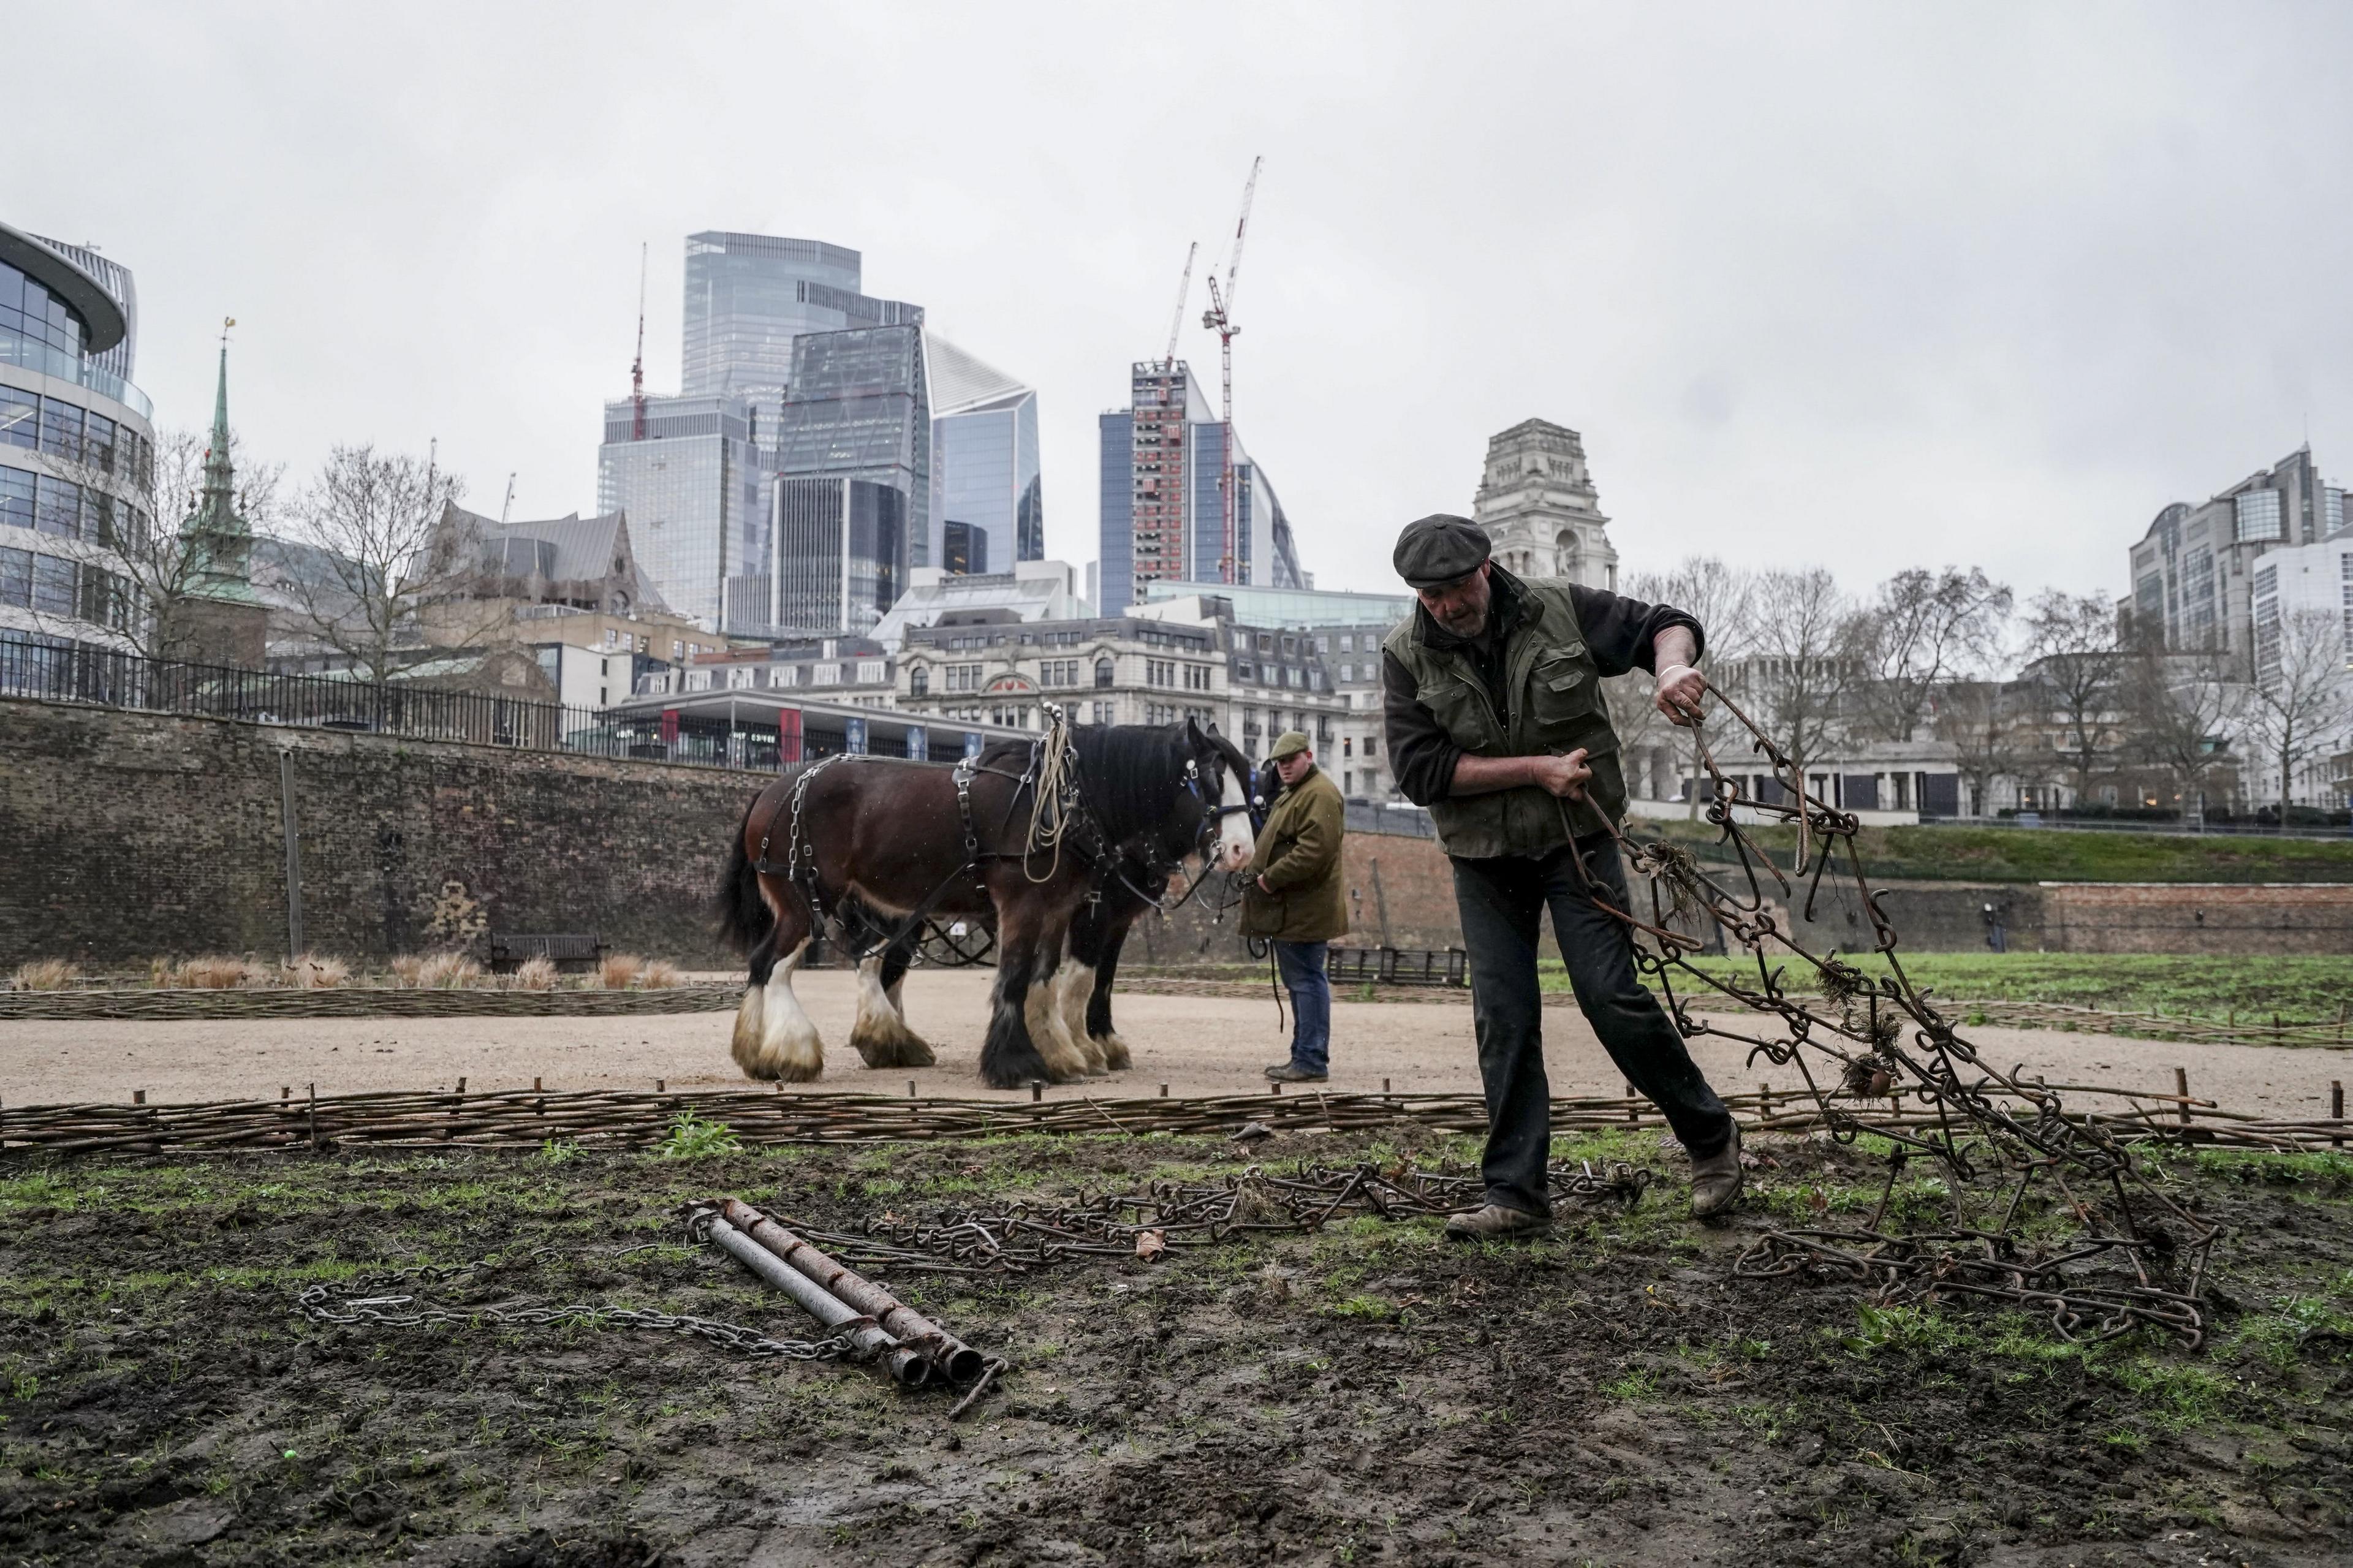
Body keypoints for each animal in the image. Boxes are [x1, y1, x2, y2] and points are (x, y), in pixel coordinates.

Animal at [715, 716, 1261, 1088]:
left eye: (1250, 783)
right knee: (775, 964)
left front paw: (1065, 1052)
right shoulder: (1036, 905)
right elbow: (1026, 978)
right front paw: (1021, 1062)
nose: (1242, 849)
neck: (1064, 802)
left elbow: (1053, 979)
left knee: (868, 966)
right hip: (805, 900)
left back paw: (876, 1041)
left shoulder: (1066, 909)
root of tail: (778, 785)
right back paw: (787, 1052)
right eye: (1209, 779)